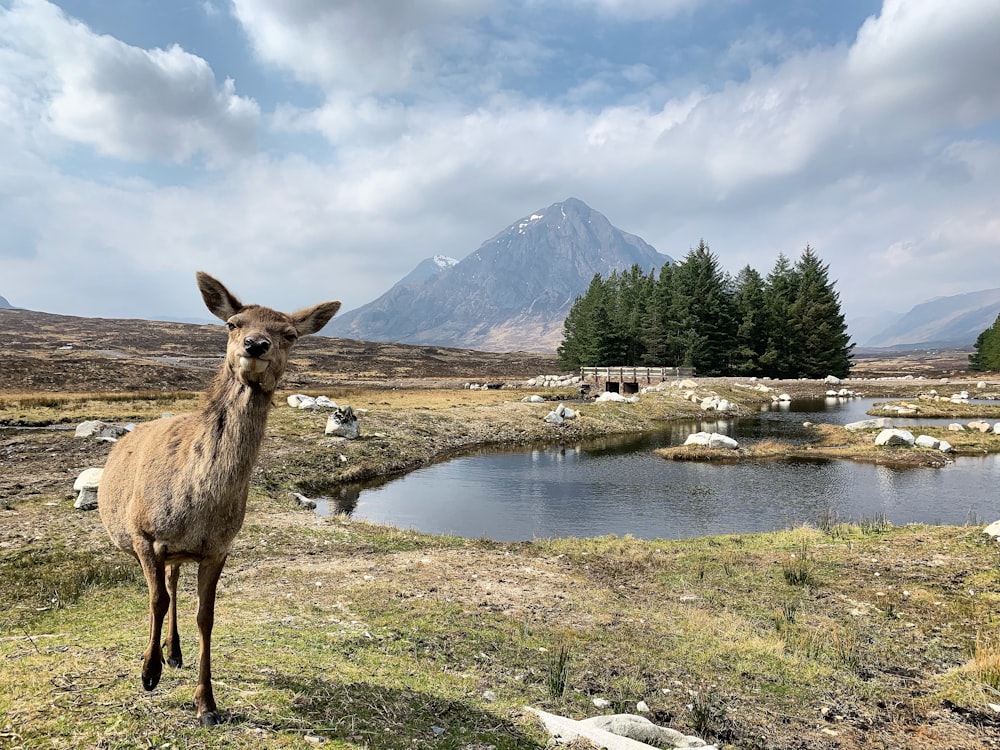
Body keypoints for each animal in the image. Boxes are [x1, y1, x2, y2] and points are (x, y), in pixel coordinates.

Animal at [98, 274, 340, 724]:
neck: (197, 506)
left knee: (174, 583)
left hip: (179, 554)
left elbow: (205, 617)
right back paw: (163, 655)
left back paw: (175, 653)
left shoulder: (218, 548)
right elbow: (155, 600)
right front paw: (148, 671)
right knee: (164, 590)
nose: (256, 345)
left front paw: (206, 704)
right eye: (233, 323)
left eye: (290, 334)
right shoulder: (144, 534)